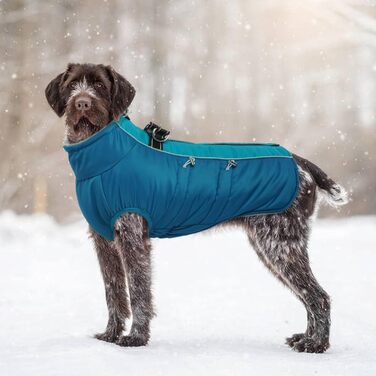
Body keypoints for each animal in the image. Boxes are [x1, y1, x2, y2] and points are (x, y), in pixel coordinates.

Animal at [45, 62, 348, 352]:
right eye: (72, 85)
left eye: (99, 85)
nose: (82, 103)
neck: (105, 154)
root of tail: (300, 162)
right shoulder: (104, 240)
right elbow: (114, 292)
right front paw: (110, 335)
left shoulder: (132, 236)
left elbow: (139, 293)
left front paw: (136, 338)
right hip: (273, 246)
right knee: (309, 296)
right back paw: (306, 338)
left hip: (280, 245)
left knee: (318, 297)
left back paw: (316, 345)